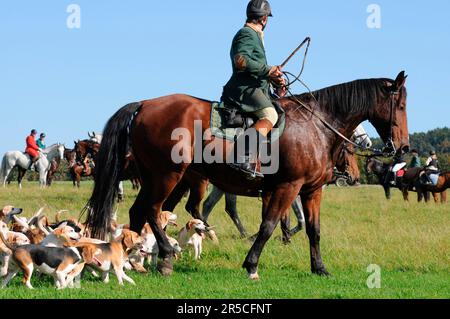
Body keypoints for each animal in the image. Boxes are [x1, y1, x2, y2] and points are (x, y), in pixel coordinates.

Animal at [85, 72, 412, 280]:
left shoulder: (311, 190)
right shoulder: (287, 187)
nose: (403, 147)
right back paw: (164, 256)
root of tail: (145, 104)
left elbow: (313, 230)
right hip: (168, 175)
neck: (316, 124)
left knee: (139, 211)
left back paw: (133, 258)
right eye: (400, 104)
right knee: (154, 210)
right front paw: (252, 265)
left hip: (155, 176)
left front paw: (319, 268)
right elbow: (268, 226)